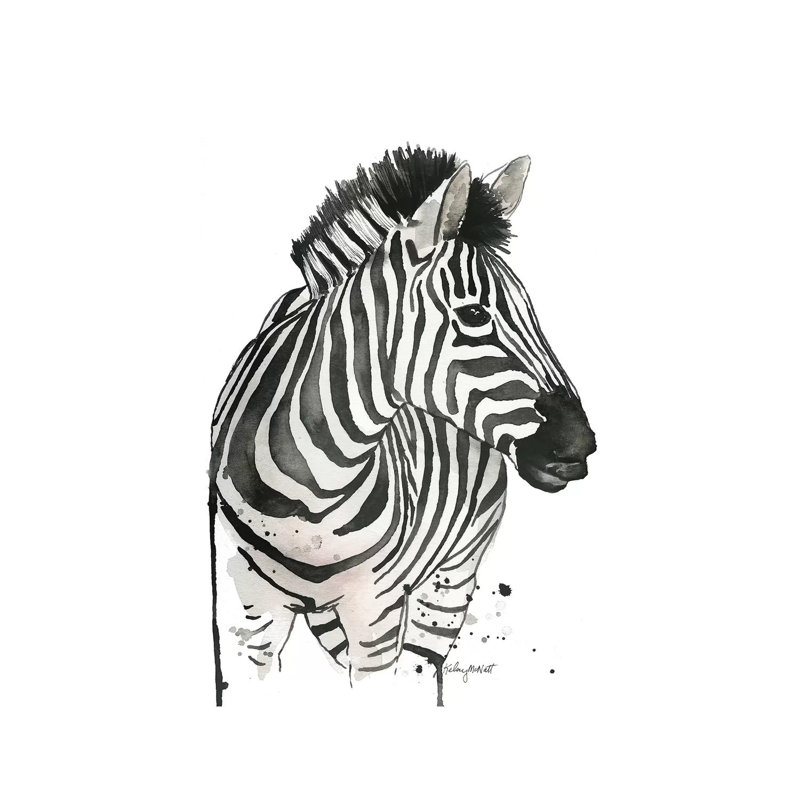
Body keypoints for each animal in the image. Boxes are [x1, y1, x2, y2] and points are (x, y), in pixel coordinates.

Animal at [208, 146, 596, 707]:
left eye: (531, 309)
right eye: (474, 314)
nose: (578, 446)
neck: (303, 494)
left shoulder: (377, 610)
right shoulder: (246, 608)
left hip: (449, 580)